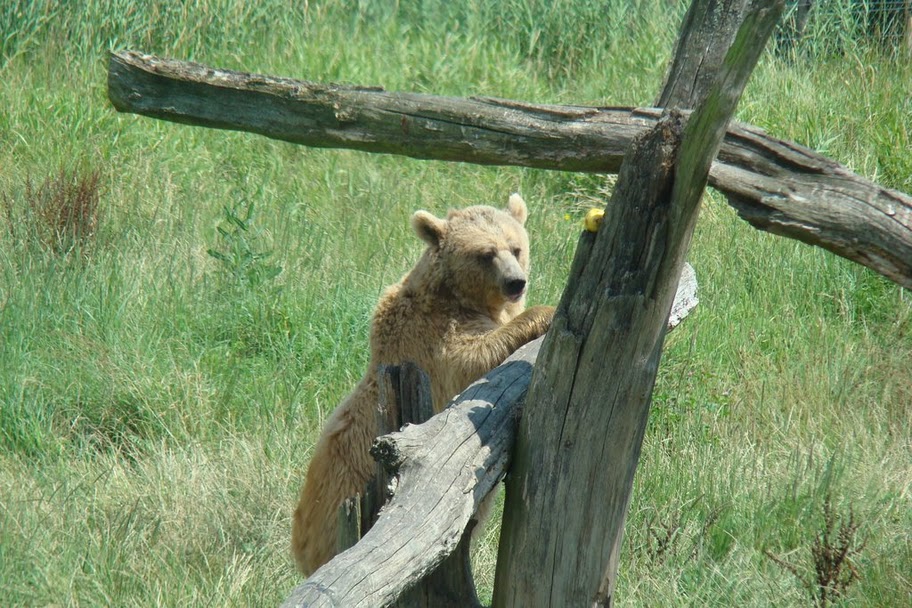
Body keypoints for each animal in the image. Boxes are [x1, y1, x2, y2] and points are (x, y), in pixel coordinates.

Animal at [290, 195, 556, 576]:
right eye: (486, 253)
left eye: (515, 247)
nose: (515, 282)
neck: (456, 297)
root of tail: (300, 545)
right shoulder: (432, 340)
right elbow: (474, 359)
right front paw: (545, 313)